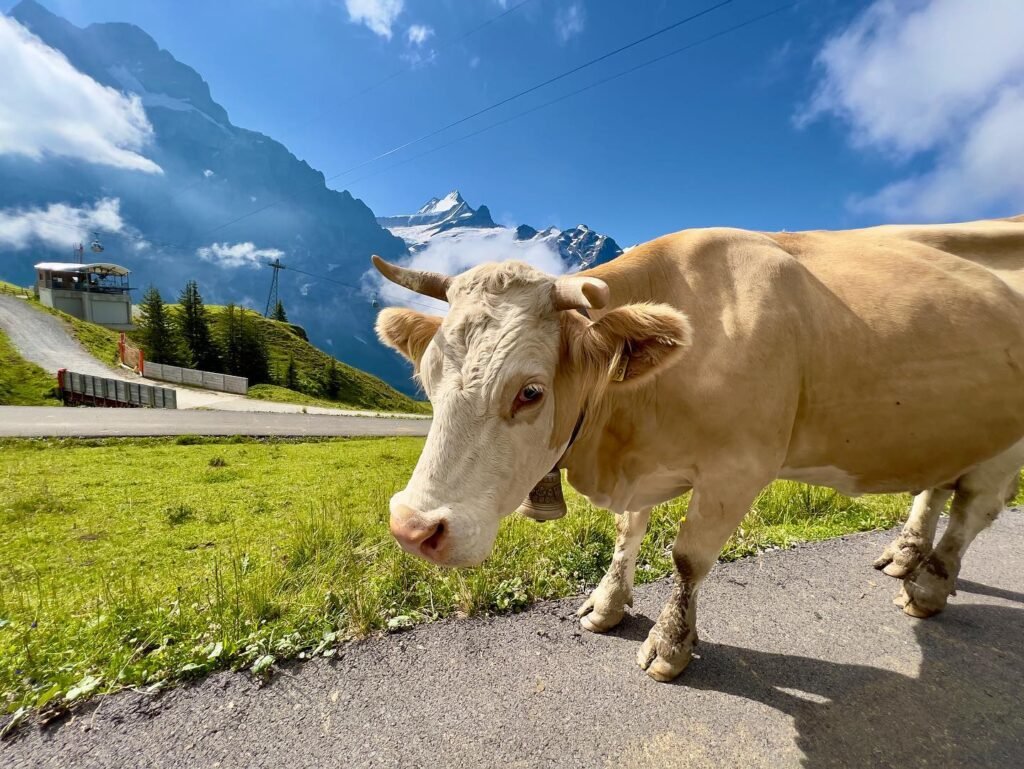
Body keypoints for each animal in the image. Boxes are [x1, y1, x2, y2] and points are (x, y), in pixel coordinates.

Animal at [372, 214, 1024, 682]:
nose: (412, 527)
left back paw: (927, 587)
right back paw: (905, 556)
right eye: (426, 376)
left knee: (972, 512)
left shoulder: (738, 469)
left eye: (530, 392)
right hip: (946, 429)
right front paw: (606, 605)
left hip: (1002, 444)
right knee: (935, 488)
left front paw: (669, 646)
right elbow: (628, 532)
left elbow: (687, 560)